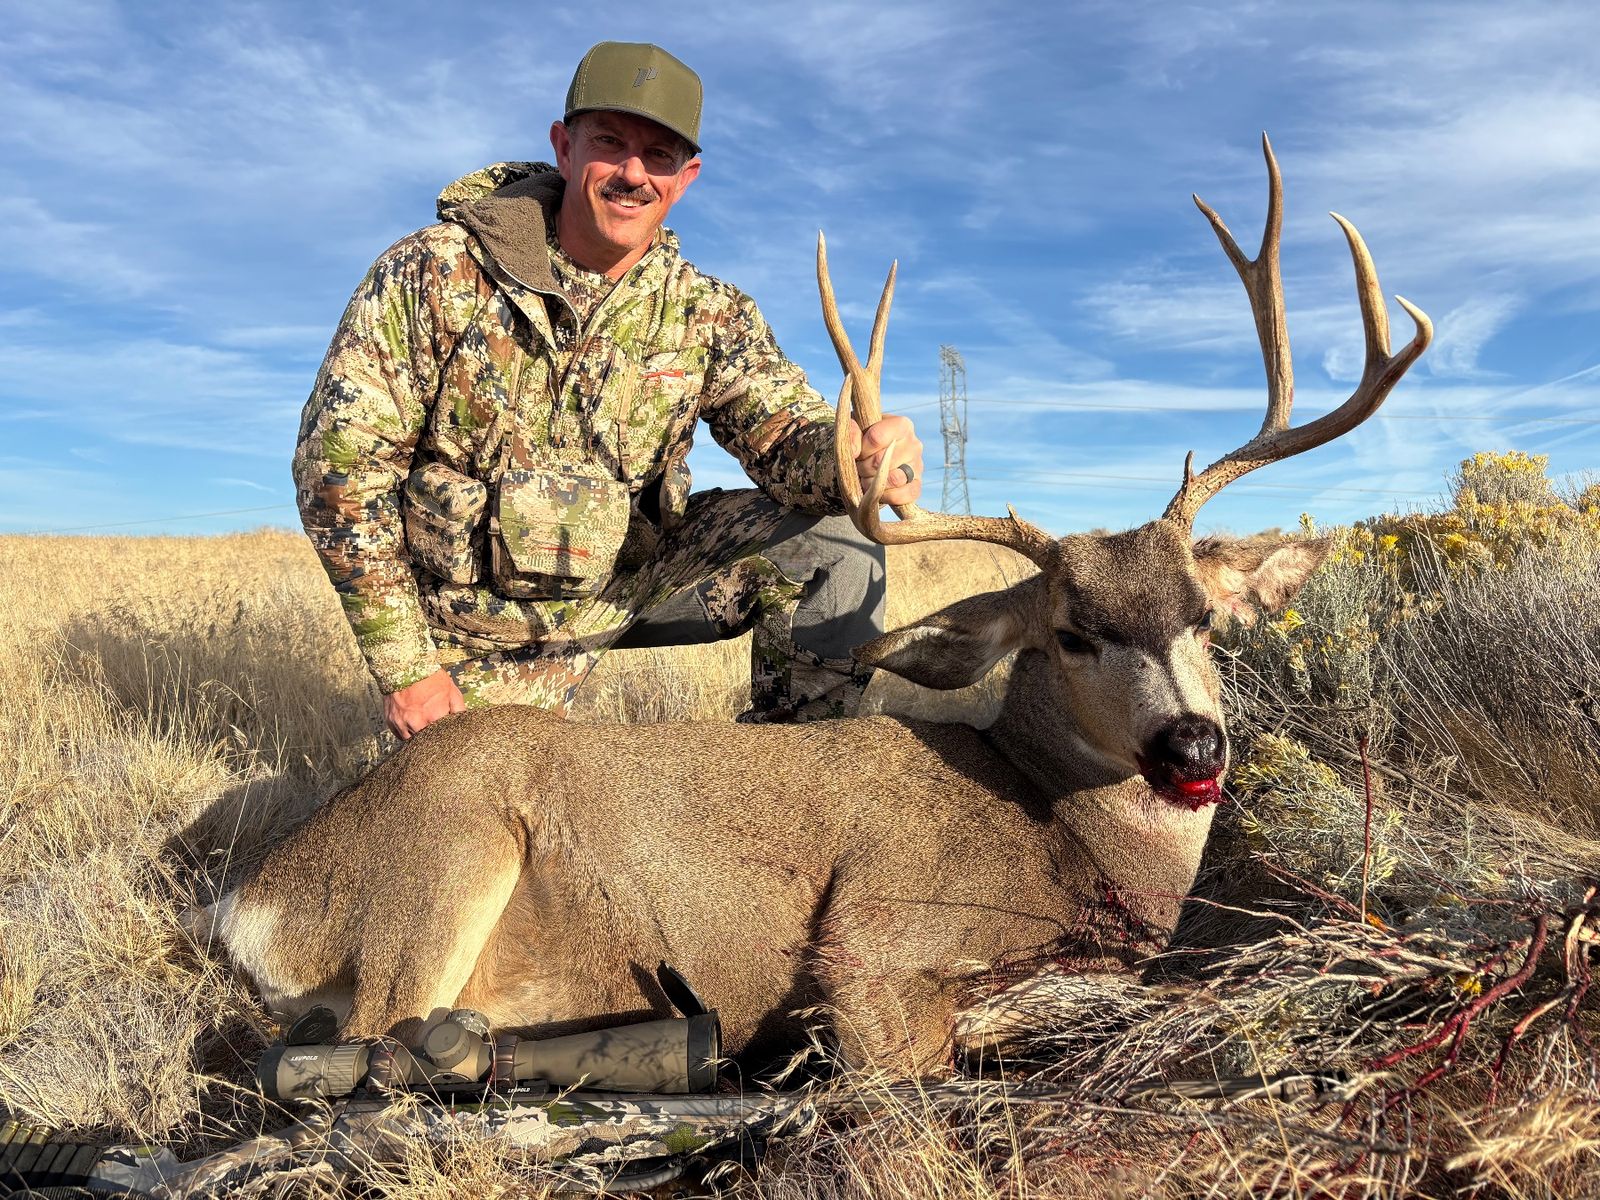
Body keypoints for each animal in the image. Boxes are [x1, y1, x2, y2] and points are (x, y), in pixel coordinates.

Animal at [205, 136, 1431, 1076]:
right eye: (1072, 632)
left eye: (1205, 619)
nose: (1191, 746)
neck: (1057, 830)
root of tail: (251, 903)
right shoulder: (876, 940)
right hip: (444, 858)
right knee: (370, 1040)